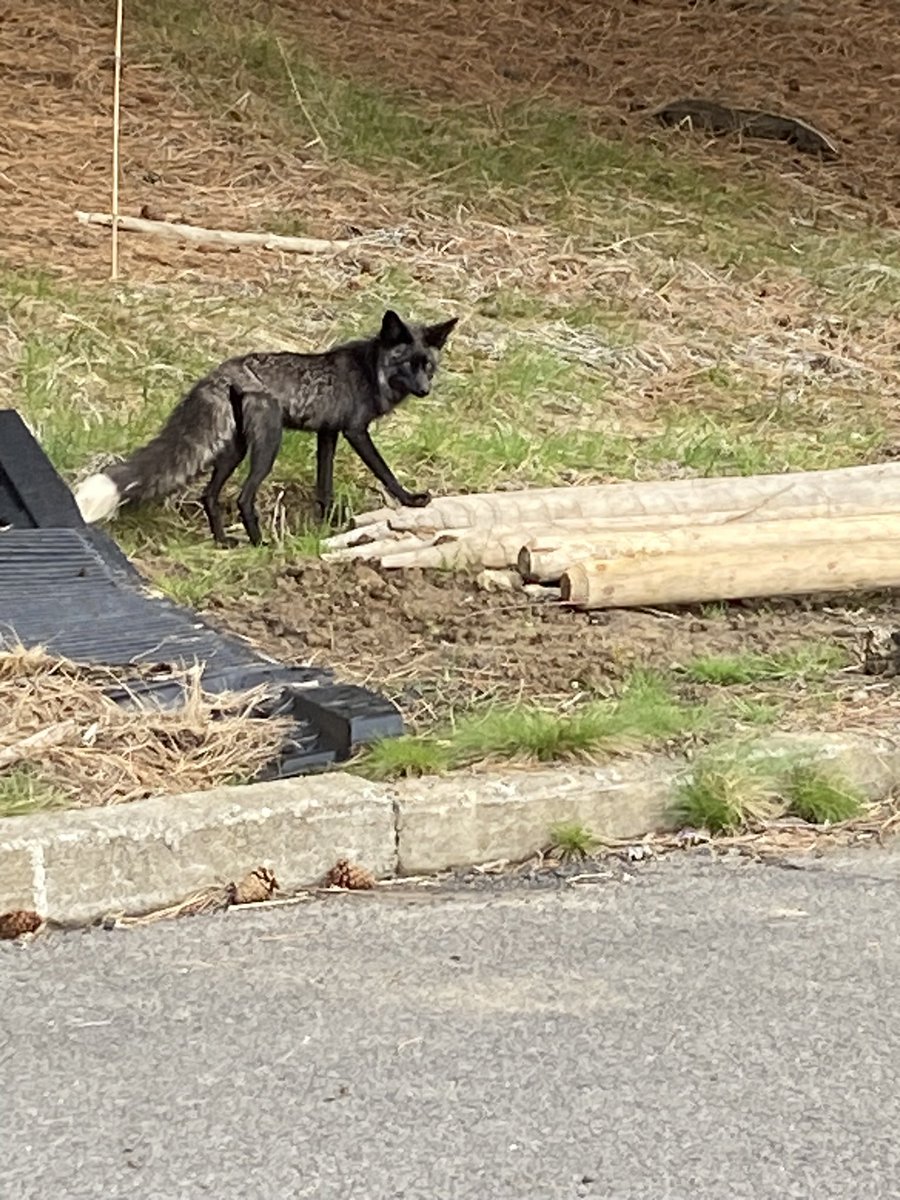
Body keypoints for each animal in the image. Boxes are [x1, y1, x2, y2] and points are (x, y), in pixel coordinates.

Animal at [74, 309, 458, 546]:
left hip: (234, 449)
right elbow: (384, 472)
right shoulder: (355, 431)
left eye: (428, 365)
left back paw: (223, 542)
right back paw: (260, 544)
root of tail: (222, 372)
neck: (370, 369)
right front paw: (410, 500)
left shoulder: (328, 433)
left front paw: (327, 524)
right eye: (407, 364)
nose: (425, 390)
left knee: (209, 495)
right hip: (268, 445)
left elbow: (325, 486)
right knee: (244, 497)